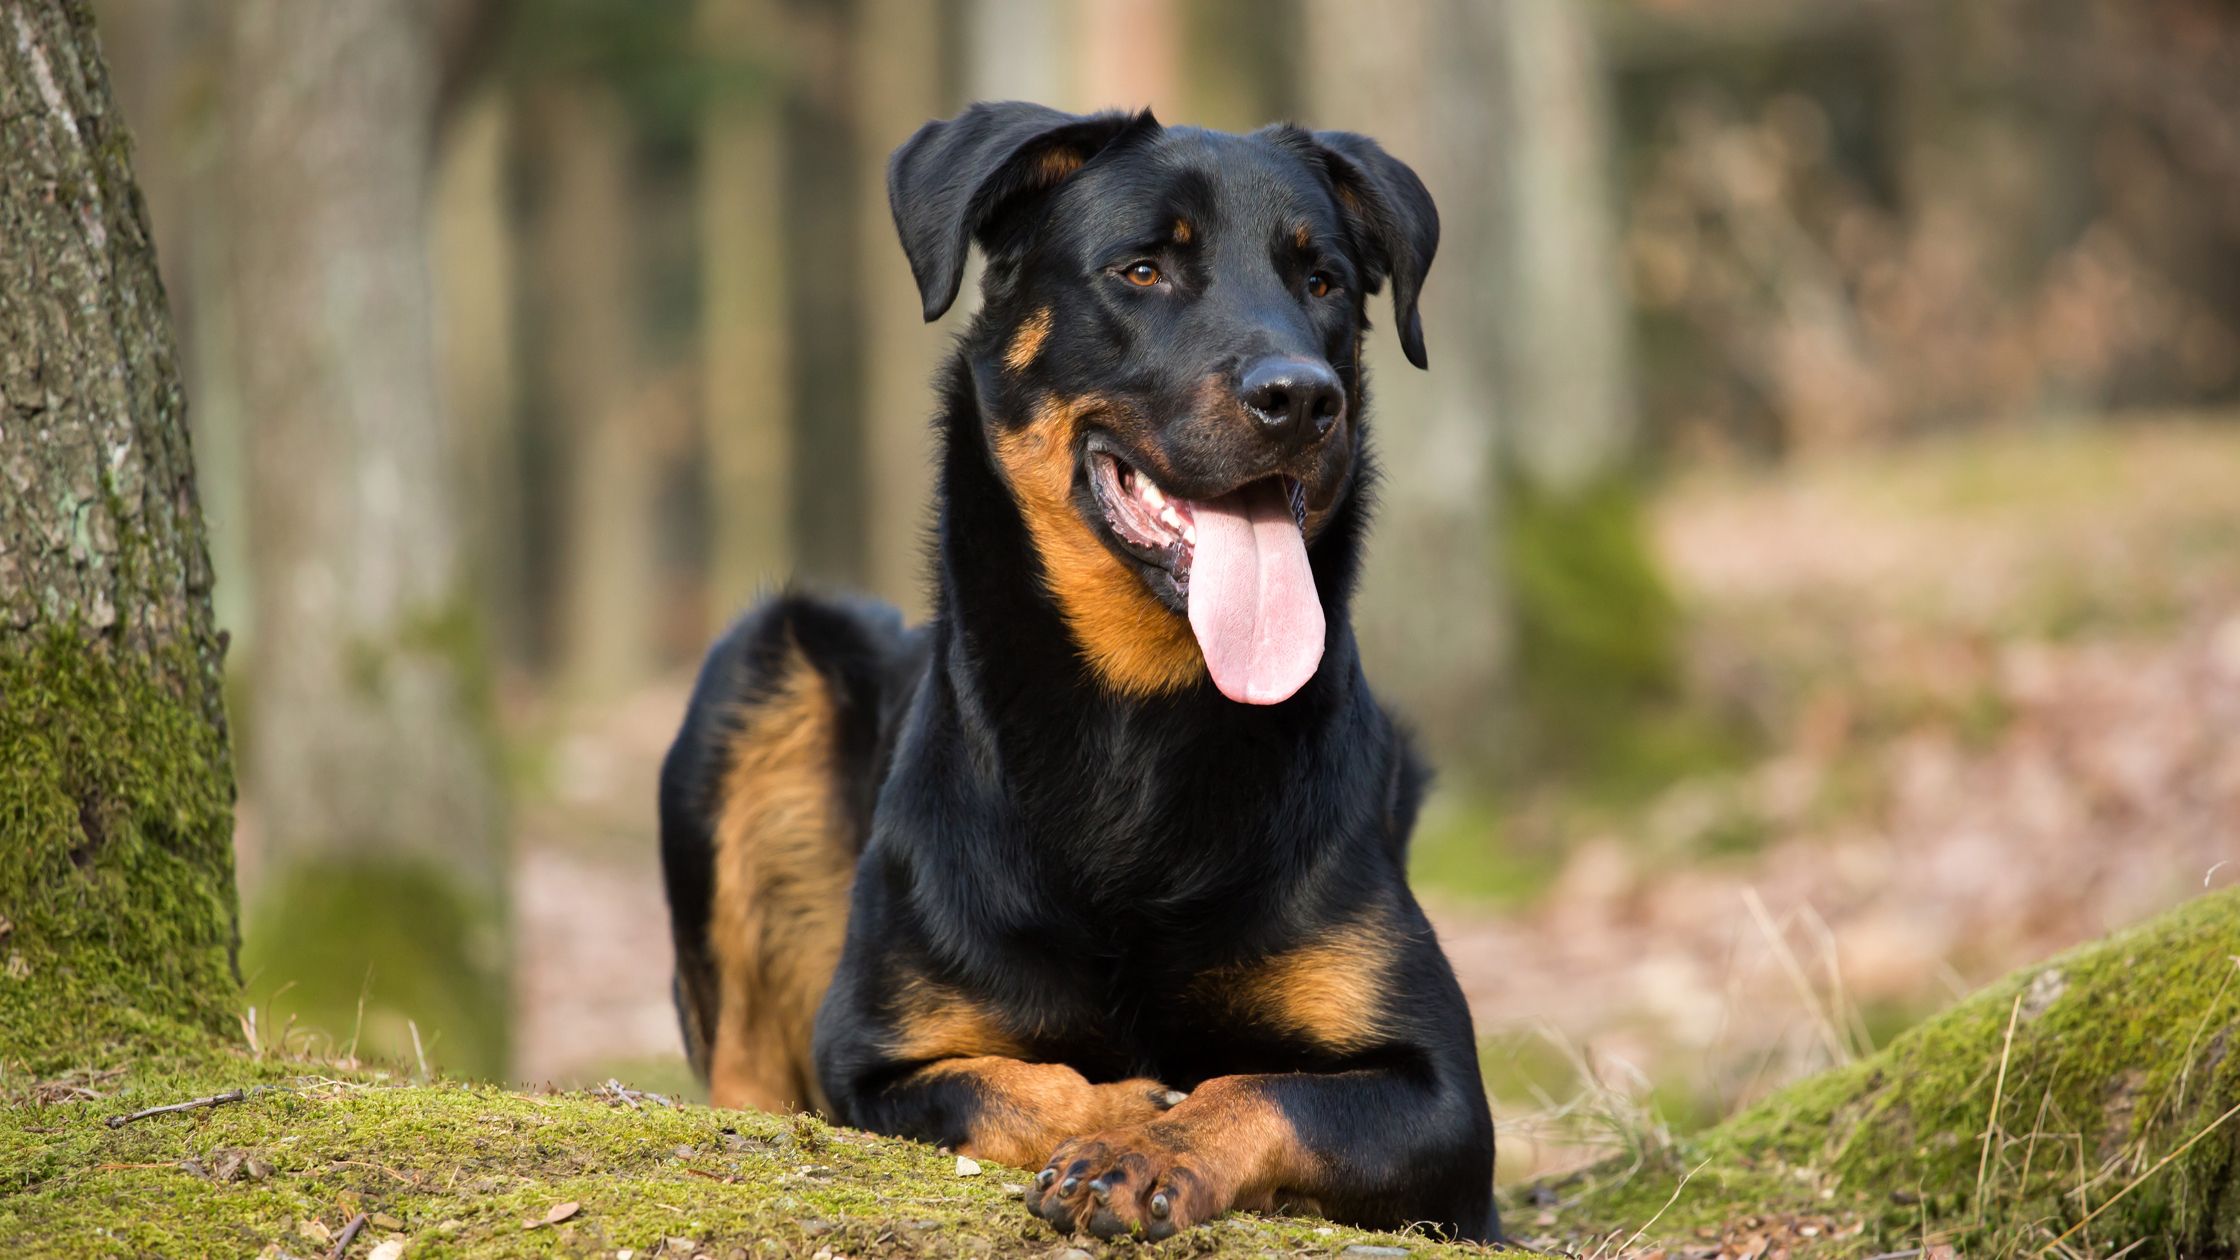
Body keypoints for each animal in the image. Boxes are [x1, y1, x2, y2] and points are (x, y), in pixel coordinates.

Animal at [663, 103, 1505, 1237]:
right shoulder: (872, 1057)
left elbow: (1259, 1088)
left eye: (1323, 282)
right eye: (1142, 270)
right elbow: (1015, 1082)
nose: (1300, 398)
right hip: (758, 672)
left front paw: (1148, 1149)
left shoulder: (1443, 1099)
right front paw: (1118, 1115)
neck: (1137, 718)